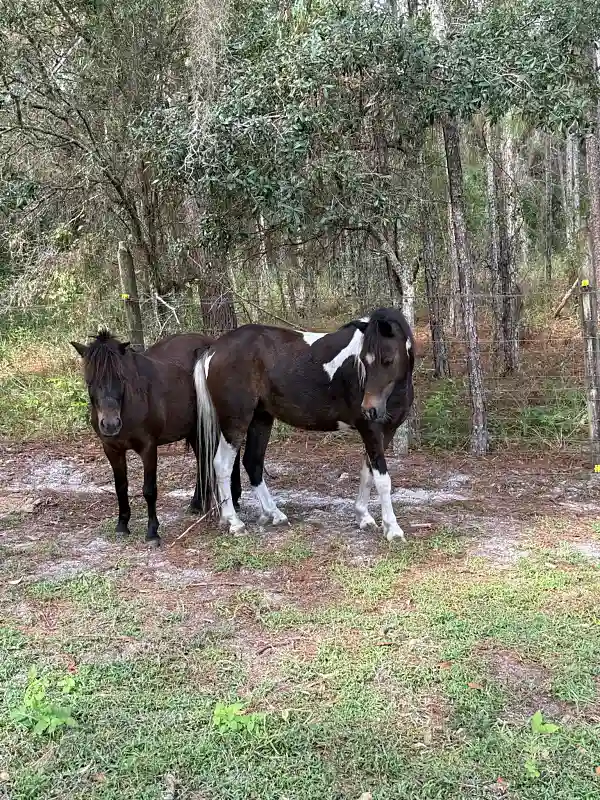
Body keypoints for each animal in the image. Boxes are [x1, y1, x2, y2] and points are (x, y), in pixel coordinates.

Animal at [71, 330, 242, 546]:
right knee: (203, 461)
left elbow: (149, 490)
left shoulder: (148, 448)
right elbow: (120, 487)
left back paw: (233, 498)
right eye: (89, 381)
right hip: (196, 429)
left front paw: (152, 532)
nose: (110, 424)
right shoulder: (112, 449)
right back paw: (197, 503)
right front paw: (122, 525)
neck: (132, 402)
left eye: (121, 378)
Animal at [193, 308, 415, 541]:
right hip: (235, 422)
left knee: (252, 462)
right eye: (363, 360)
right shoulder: (370, 429)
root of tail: (214, 349)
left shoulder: (386, 432)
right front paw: (393, 529)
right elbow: (382, 480)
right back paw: (234, 522)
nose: (369, 410)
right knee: (222, 465)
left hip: (260, 419)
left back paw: (274, 514)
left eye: (388, 360)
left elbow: (368, 473)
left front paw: (364, 517)